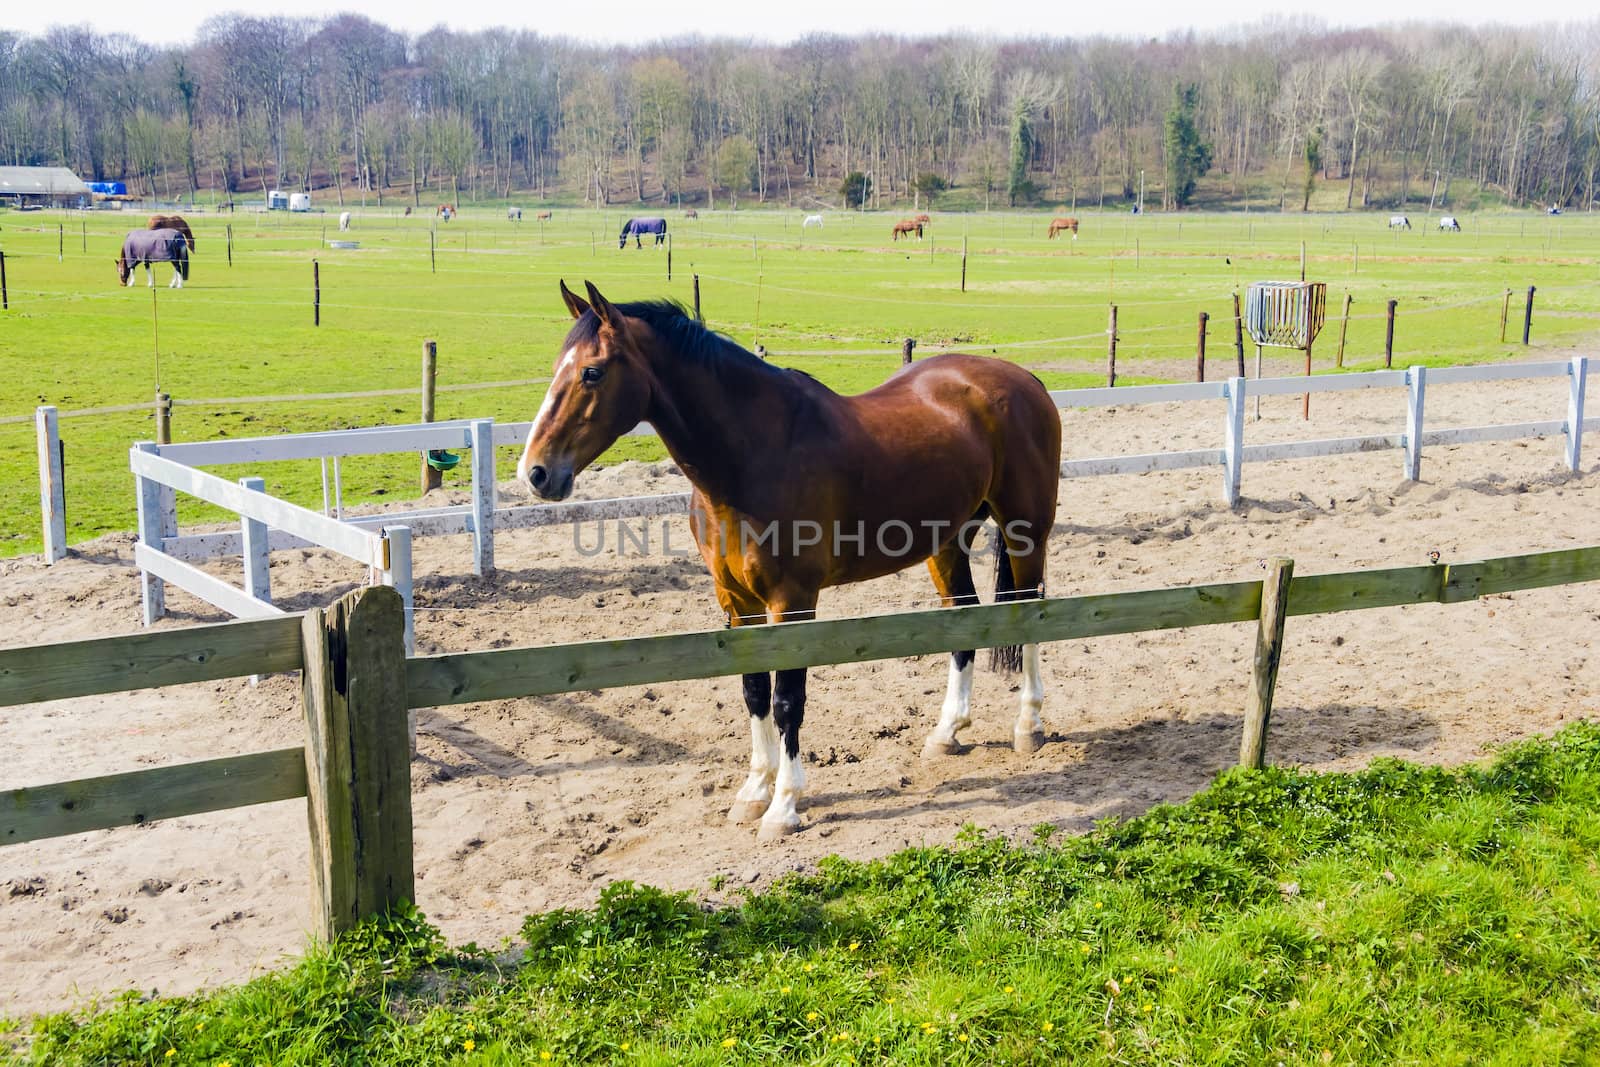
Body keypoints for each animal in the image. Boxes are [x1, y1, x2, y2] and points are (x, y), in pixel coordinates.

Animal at [515, 281, 1062, 844]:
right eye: (558, 365)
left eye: (592, 371)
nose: (535, 472)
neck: (755, 453)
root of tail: (1024, 379)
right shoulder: (737, 602)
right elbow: (755, 691)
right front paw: (754, 792)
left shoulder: (793, 603)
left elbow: (786, 701)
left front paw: (784, 806)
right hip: (948, 542)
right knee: (964, 618)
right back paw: (947, 731)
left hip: (1026, 531)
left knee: (1032, 614)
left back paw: (1028, 726)